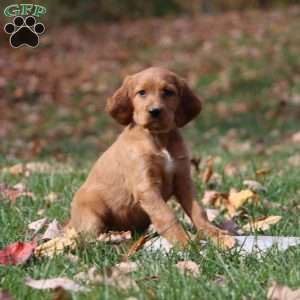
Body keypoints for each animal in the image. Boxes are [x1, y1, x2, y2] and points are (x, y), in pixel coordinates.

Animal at [69, 67, 234, 248]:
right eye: (141, 92)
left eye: (168, 92)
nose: (154, 111)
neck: (159, 138)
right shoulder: (147, 187)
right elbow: (167, 216)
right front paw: (184, 243)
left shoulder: (183, 180)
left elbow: (198, 211)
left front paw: (217, 235)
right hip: (91, 209)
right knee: (88, 238)